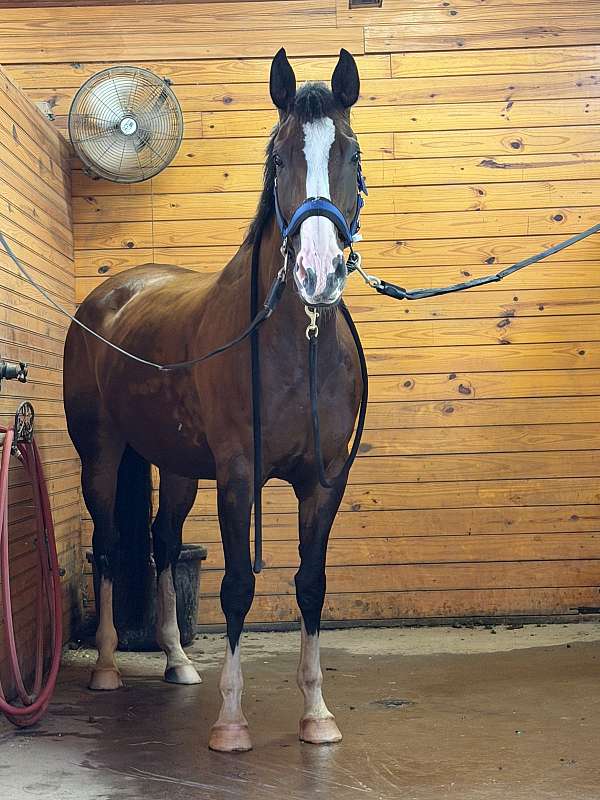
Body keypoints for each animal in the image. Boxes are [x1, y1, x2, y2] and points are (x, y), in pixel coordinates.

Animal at [64, 47, 364, 753]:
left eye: (352, 153)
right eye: (278, 158)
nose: (318, 273)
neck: (301, 344)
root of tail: (108, 298)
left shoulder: (324, 481)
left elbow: (311, 585)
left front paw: (317, 715)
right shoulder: (238, 475)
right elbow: (235, 588)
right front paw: (231, 722)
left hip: (175, 467)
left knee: (163, 543)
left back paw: (177, 660)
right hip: (101, 457)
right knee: (111, 546)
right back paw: (109, 667)